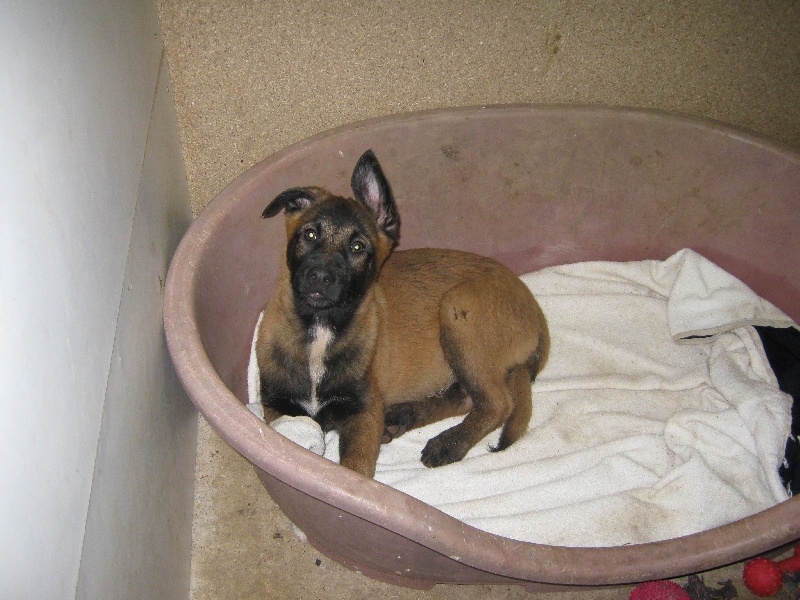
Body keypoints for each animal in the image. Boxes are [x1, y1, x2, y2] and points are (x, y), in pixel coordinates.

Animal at [256, 150, 549, 478]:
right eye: (309, 234)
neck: (321, 328)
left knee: (497, 403)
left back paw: (448, 444)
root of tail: (536, 312)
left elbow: (353, 471)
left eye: (357, 247)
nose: (319, 277)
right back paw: (402, 416)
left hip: (458, 311)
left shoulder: (364, 414)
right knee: (465, 397)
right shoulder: (277, 405)